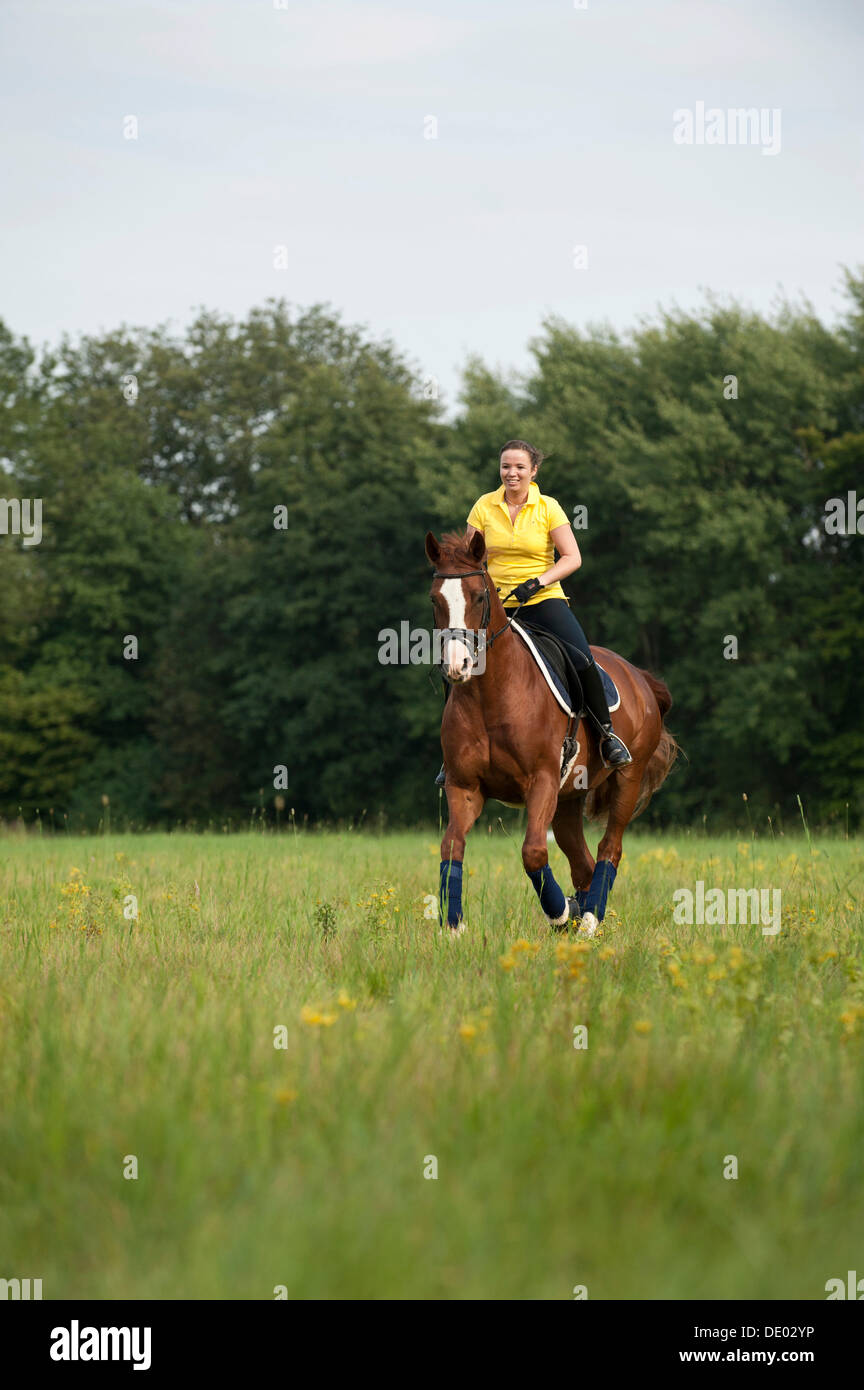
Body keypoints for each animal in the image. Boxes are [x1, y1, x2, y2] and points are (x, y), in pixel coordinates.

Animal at [430, 528, 680, 934]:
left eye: (479, 596)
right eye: (435, 599)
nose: (458, 665)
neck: (491, 695)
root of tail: (641, 677)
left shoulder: (542, 780)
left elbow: (533, 852)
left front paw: (559, 912)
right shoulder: (464, 786)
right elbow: (451, 845)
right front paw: (453, 927)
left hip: (627, 779)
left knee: (609, 849)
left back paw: (589, 917)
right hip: (568, 798)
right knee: (582, 861)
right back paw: (585, 910)